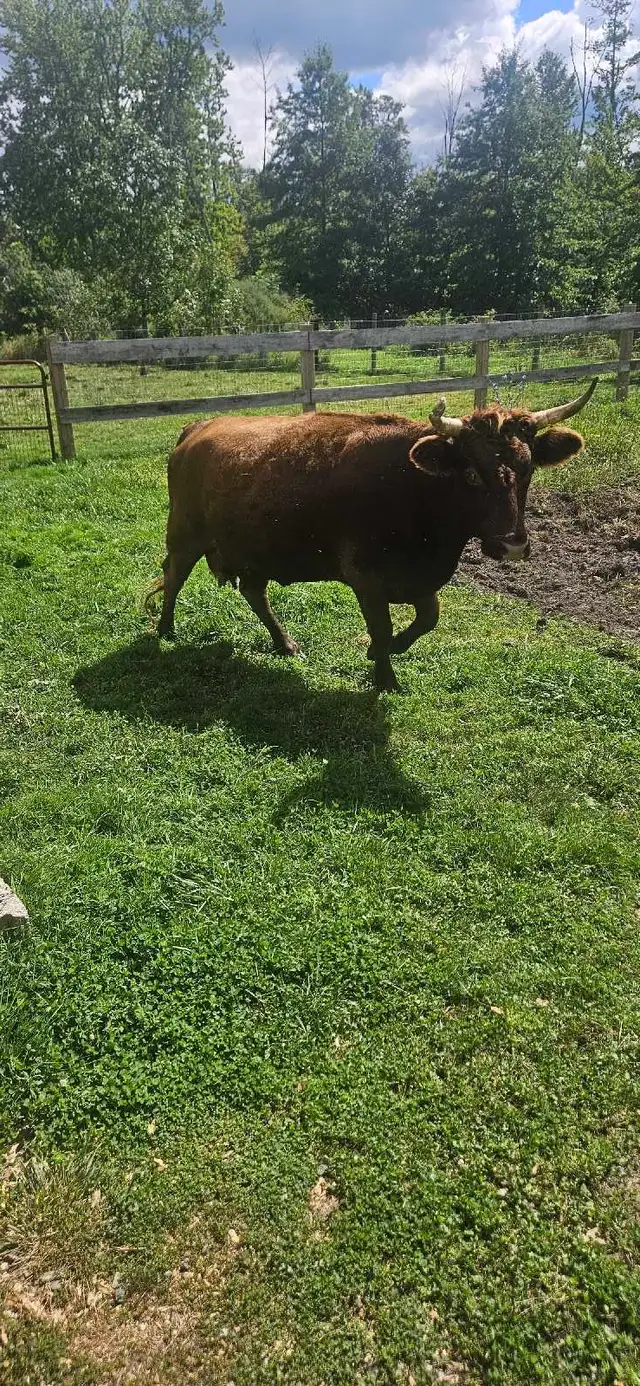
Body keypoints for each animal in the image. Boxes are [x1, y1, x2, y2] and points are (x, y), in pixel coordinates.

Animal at [147, 382, 596, 692]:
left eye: (528, 469)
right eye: (471, 473)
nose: (513, 544)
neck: (413, 489)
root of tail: (198, 426)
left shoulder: (418, 578)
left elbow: (428, 619)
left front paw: (386, 651)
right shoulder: (366, 577)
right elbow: (381, 627)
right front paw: (385, 677)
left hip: (256, 549)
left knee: (254, 593)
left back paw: (284, 643)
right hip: (185, 534)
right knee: (174, 577)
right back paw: (165, 630)